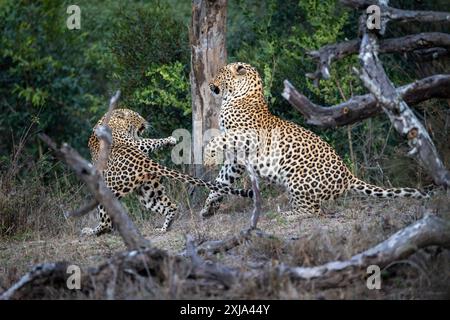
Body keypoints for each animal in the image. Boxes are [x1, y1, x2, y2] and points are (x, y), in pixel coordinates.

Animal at [84, 107, 253, 235]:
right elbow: (148, 142)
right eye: (137, 116)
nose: (146, 122)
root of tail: (145, 163)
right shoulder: (132, 142)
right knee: (171, 206)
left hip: (135, 191)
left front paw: (170, 140)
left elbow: (149, 141)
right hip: (147, 191)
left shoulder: (132, 142)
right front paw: (170, 140)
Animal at [201, 61, 428, 219]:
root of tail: (348, 176)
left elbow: (218, 140)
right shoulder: (237, 158)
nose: (210, 84)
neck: (238, 96)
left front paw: (208, 156)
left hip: (296, 176)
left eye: (219, 74)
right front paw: (208, 207)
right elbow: (221, 180)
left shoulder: (246, 137)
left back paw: (287, 214)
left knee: (313, 210)